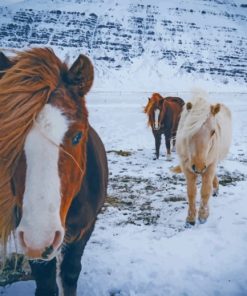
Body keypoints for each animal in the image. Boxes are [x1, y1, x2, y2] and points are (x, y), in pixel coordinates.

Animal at [174, 94, 232, 224]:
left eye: (213, 131)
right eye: (189, 129)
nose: (199, 166)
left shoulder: (210, 166)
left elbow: (205, 191)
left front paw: (203, 216)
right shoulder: (187, 168)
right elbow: (191, 192)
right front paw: (190, 219)